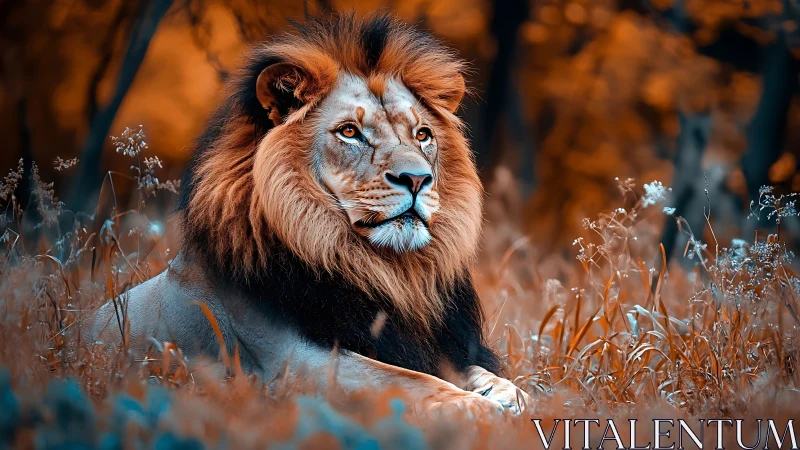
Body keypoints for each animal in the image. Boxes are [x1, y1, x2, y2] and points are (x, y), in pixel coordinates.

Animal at [90, 14, 531, 416]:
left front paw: (510, 395)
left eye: (422, 135)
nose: (418, 179)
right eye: (350, 132)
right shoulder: (293, 361)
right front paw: (480, 410)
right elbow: (410, 381)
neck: (389, 273)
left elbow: (476, 372)